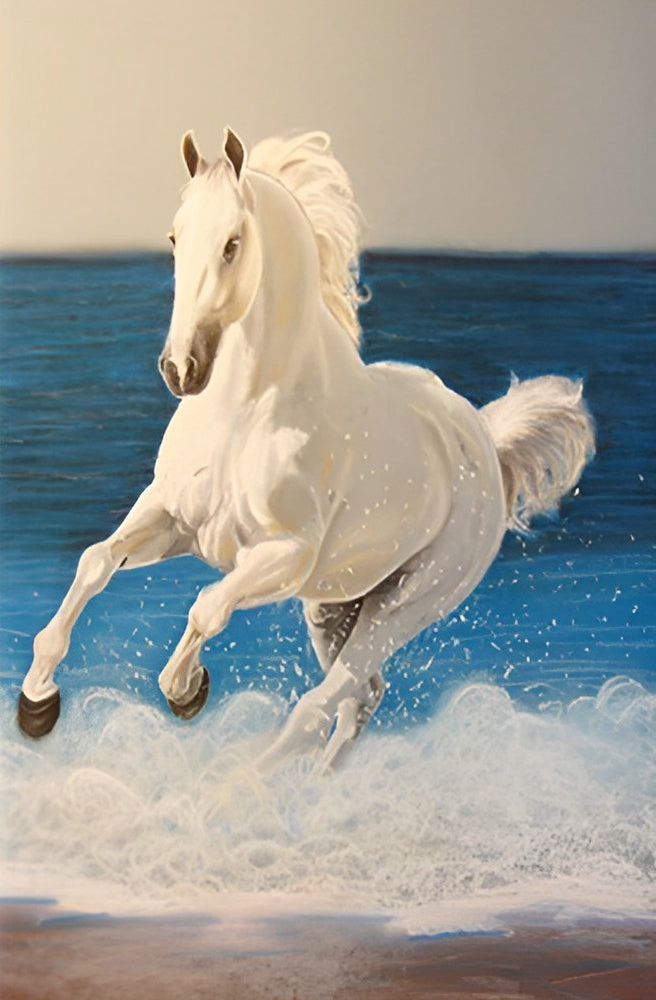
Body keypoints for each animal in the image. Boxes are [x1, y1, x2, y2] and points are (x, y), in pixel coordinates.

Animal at [18, 128, 595, 770]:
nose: (179, 369)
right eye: (174, 236)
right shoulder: (172, 519)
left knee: (322, 703)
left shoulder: (282, 558)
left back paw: (249, 781)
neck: (242, 415)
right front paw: (36, 701)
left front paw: (185, 690)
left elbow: (206, 606)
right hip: (333, 607)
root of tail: (484, 443)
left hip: (406, 605)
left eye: (233, 243)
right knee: (362, 698)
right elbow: (95, 561)